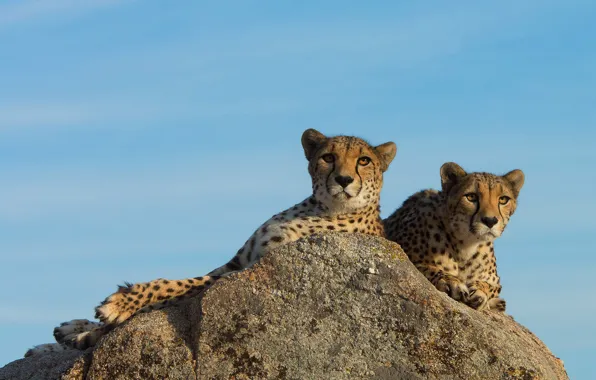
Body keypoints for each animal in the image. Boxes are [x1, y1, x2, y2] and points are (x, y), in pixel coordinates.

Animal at [26, 128, 396, 356]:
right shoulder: (238, 264)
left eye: (364, 160)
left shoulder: (249, 270)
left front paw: (116, 306)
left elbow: (170, 287)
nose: (344, 180)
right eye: (329, 157)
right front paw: (76, 328)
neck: (320, 206)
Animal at [384, 163, 524, 312]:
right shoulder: (401, 251)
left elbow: (490, 286)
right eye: (471, 197)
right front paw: (451, 281)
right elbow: (427, 267)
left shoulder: (495, 281)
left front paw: (480, 291)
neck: (466, 244)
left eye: (503, 199)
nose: (490, 221)